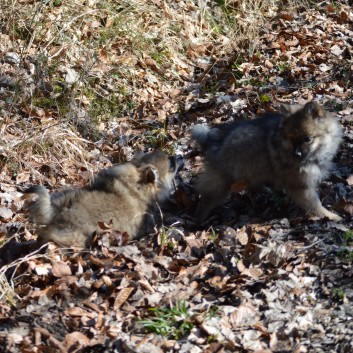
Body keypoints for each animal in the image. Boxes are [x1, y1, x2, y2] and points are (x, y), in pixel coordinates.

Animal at [191, 101, 342, 220]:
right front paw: (330, 216)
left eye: (307, 139)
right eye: (291, 139)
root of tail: (213, 136)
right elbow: (315, 204)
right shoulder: (300, 186)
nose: (297, 154)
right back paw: (200, 219)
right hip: (222, 181)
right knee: (207, 198)